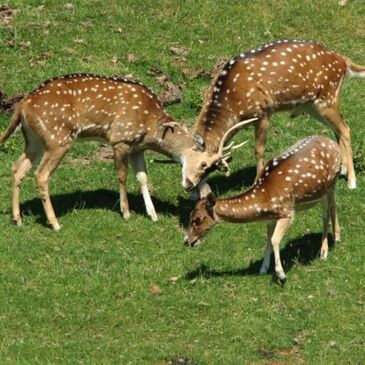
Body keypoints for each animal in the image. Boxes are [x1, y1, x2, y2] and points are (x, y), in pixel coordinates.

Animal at [0, 72, 208, 229]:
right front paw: (126, 212)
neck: (151, 127)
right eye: (204, 164)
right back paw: (55, 223)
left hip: (34, 141)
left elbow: (142, 177)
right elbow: (122, 175)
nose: (191, 187)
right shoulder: (120, 139)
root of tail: (22, 105)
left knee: (17, 168)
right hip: (58, 139)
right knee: (40, 174)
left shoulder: (137, 148)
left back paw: (17, 219)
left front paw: (153, 214)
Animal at [182, 39, 364, 193]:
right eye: (183, 159)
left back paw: (352, 181)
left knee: (345, 128)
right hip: (313, 105)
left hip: (328, 97)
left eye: (204, 165)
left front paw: (256, 182)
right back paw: (341, 169)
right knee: (337, 129)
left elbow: (259, 150)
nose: (187, 186)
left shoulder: (263, 112)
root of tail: (343, 61)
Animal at [185, 134, 342, 282]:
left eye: (198, 219)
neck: (263, 200)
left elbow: (275, 240)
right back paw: (336, 237)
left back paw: (324, 251)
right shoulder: (270, 219)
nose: (187, 241)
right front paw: (263, 268)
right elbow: (268, 239)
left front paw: (281, 275)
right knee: (332, 206)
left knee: (326, 213)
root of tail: (332, 143)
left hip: (329, 185)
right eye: (190, 215)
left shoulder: (287, 213)